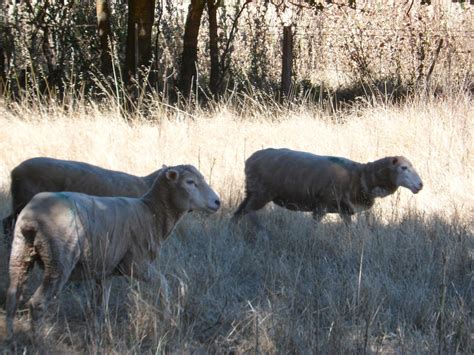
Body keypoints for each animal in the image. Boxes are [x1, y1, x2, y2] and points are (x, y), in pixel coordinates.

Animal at [233, 147, 422, 225]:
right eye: (403, 168)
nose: (420, 185)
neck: (360, 176)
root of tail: (250, 160)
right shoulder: (321, 205)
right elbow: (314, 228)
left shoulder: (345, 210)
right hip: (261, 193)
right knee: (248, 213)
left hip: (251, 192)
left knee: (237, 214)